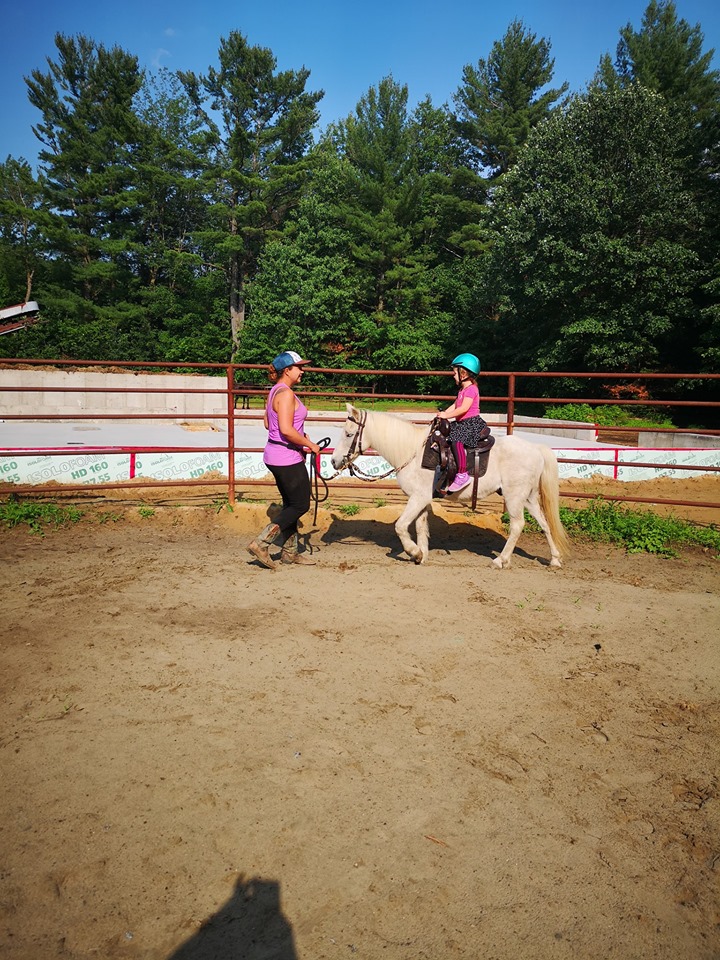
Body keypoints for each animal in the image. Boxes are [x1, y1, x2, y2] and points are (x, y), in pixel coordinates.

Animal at [330, 404, 572, 568]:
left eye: (349, 434)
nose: (333, 461)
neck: (413, 451)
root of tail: (536, 448)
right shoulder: (422, 499)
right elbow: (420, 527)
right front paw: (422, 555)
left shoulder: (417, 498)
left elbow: (400, 526)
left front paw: (413, 552)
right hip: (528, 497)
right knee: (545, 524)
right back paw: (554, 559)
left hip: (514, 497)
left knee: (517, 525)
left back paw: (500, 560)